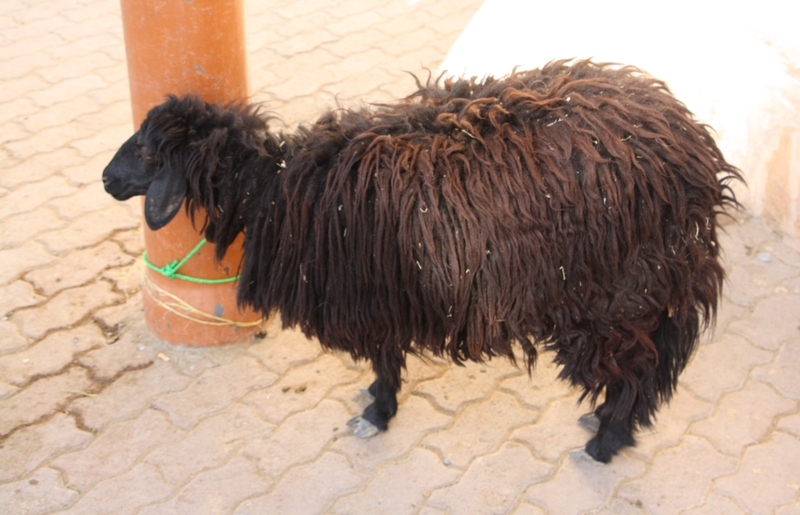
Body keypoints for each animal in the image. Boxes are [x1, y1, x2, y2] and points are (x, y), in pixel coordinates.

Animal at [104, 60, 744, 464]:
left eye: (148, 152)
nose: (107, 179)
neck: (275, 189)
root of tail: (692, 147)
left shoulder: (371, 301)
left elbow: (384, 361)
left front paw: (378, 412)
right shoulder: (384, 299)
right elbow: (386, 357)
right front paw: (378, 405)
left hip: (615, 295)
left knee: (638, 367)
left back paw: (606, 441)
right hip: (649, 287)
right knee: (652, 363)